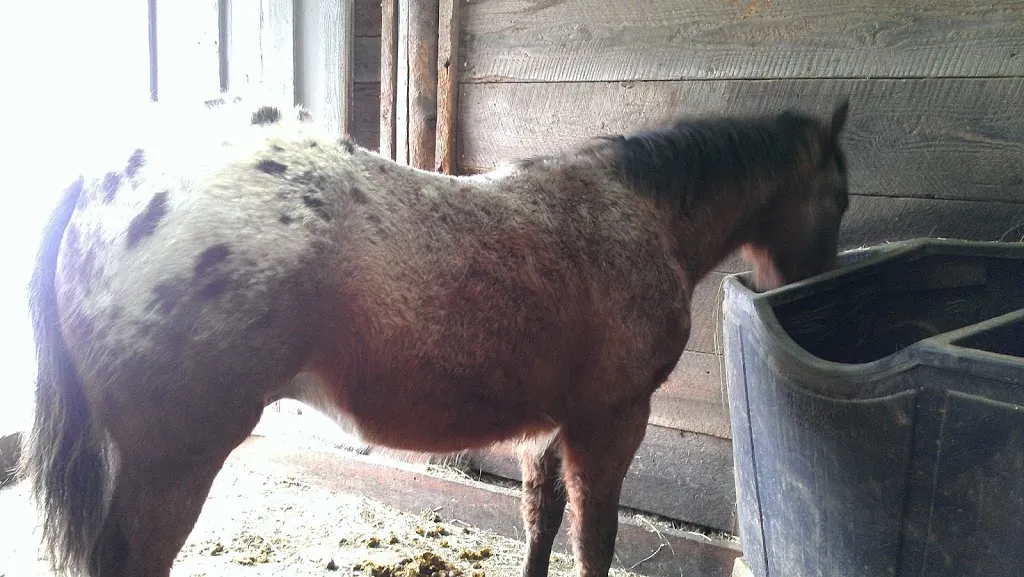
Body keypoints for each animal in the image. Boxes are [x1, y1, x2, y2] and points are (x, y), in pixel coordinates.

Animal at [22, 96, 850, 577]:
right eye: (839, 196)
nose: (816, 285)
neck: (633, 212)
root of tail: (97, 188)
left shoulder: (549, 429)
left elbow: (542, 523)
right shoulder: (610, 423)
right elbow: (595, 540)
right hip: (173, 463)